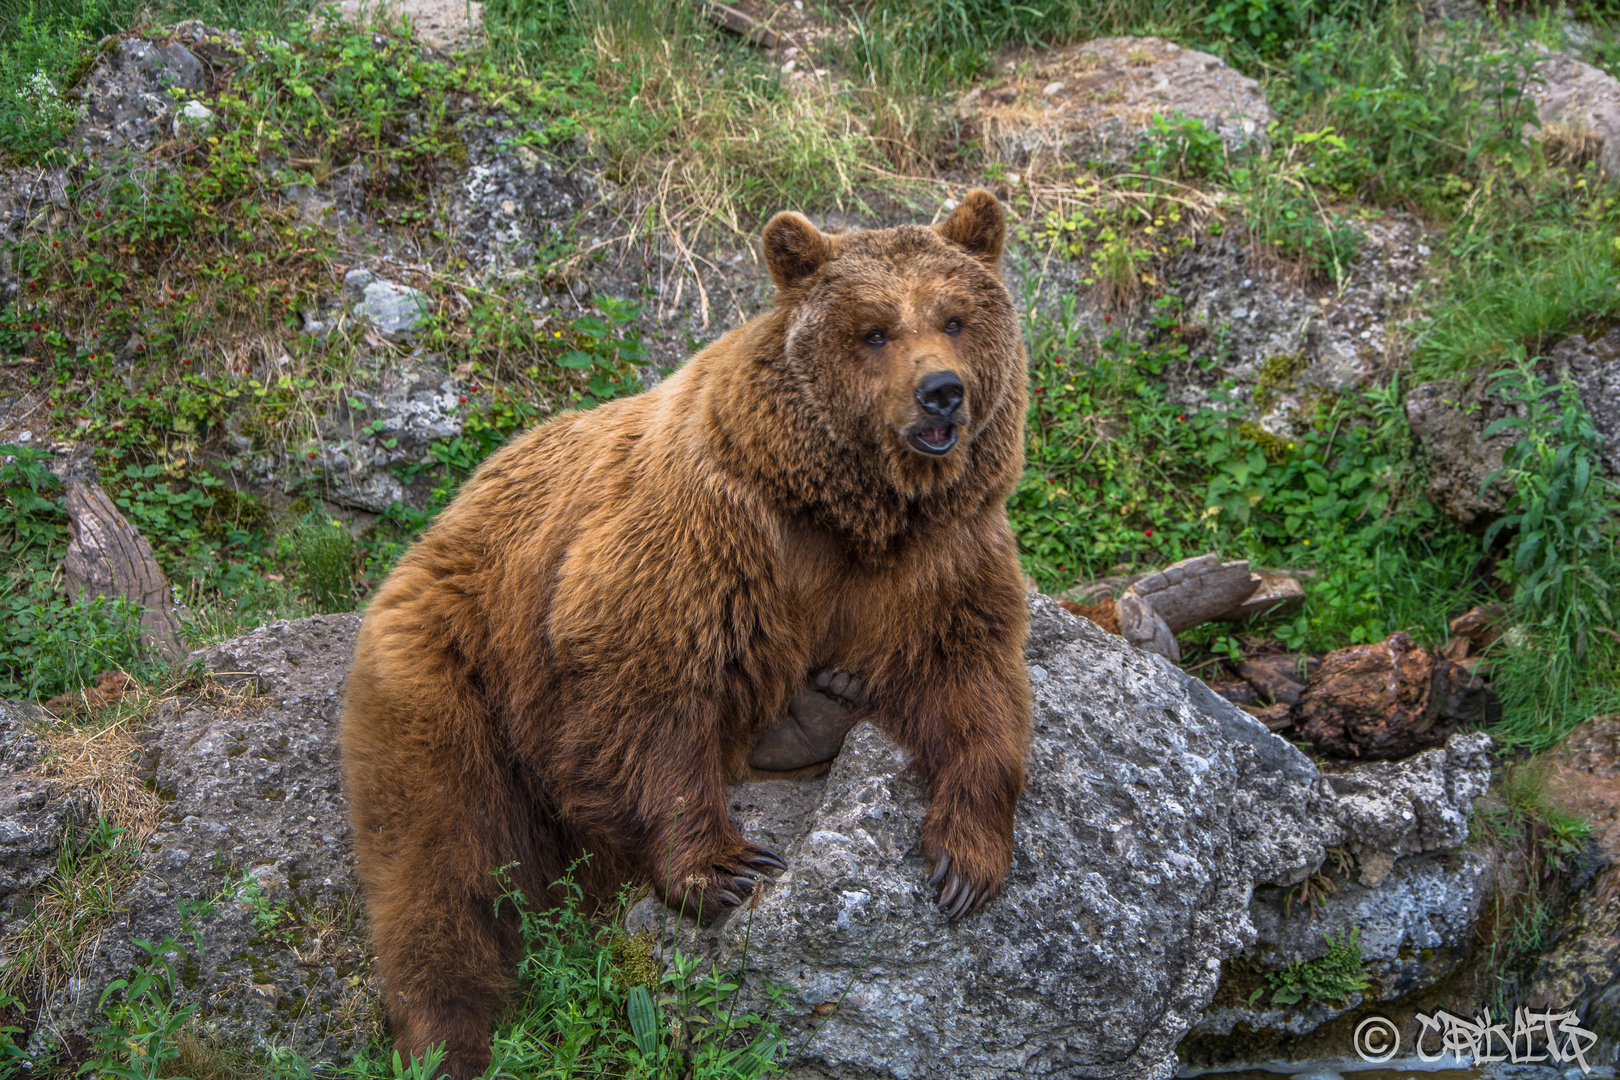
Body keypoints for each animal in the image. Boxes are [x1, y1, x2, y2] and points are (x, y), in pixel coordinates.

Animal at [336, 190, 1030, 1075]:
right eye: (875, 330)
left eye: (955, 317)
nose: (941, 392)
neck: (846, 509)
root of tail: (431, 532)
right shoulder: (710, 524)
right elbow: (648, 680)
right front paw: (724, 867)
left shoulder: (941, 555)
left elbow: (973, 676)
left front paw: (965, 860)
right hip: (452, 668)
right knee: (440, 858)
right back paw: (446, 1040)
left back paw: (819, 712)